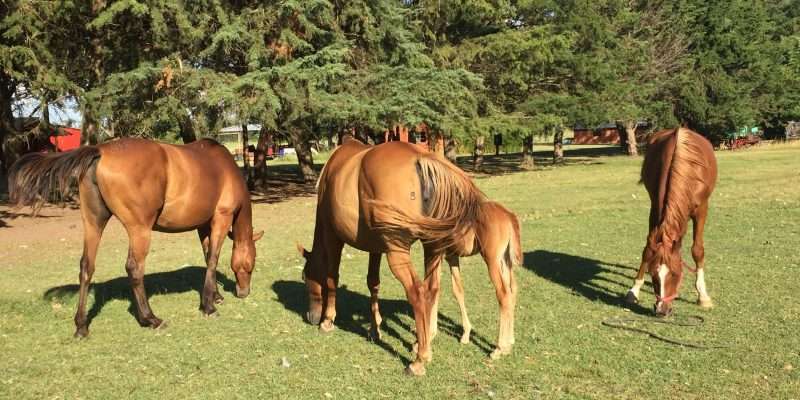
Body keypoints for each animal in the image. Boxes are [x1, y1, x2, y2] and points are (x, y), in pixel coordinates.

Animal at [7, 138, 262, 338]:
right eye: (251, 265)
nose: (244, 292)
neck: (223, 168)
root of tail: (101, 150)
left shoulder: (203, 226)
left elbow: (208, 256)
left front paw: (215, 296)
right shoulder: (221, 217)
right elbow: (213, 258)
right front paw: (208, 306)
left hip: (93, 223)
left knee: (86, 267)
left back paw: (81, 326)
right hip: (140, 230)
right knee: (134, 268)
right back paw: (150, 318)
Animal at [298, 138, 520, 376]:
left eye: (305, 276)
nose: (311, 317)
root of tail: (420, 157)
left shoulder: (332, 236)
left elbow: (332, 277)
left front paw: (328, 319)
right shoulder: (376, 246)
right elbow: (373, 282)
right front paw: (375, 328)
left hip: (401, 251)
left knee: (419, 292)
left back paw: (420, 359)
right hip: (433, 247)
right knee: (433, 290)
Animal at [624, 127, 720, 316]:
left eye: (675, 274)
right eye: (653, 274)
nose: (662, 310)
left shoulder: (701, 210)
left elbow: (697, 250)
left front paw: (703, 296)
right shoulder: (655, 208)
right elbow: (648, 249)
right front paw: (634, 290)